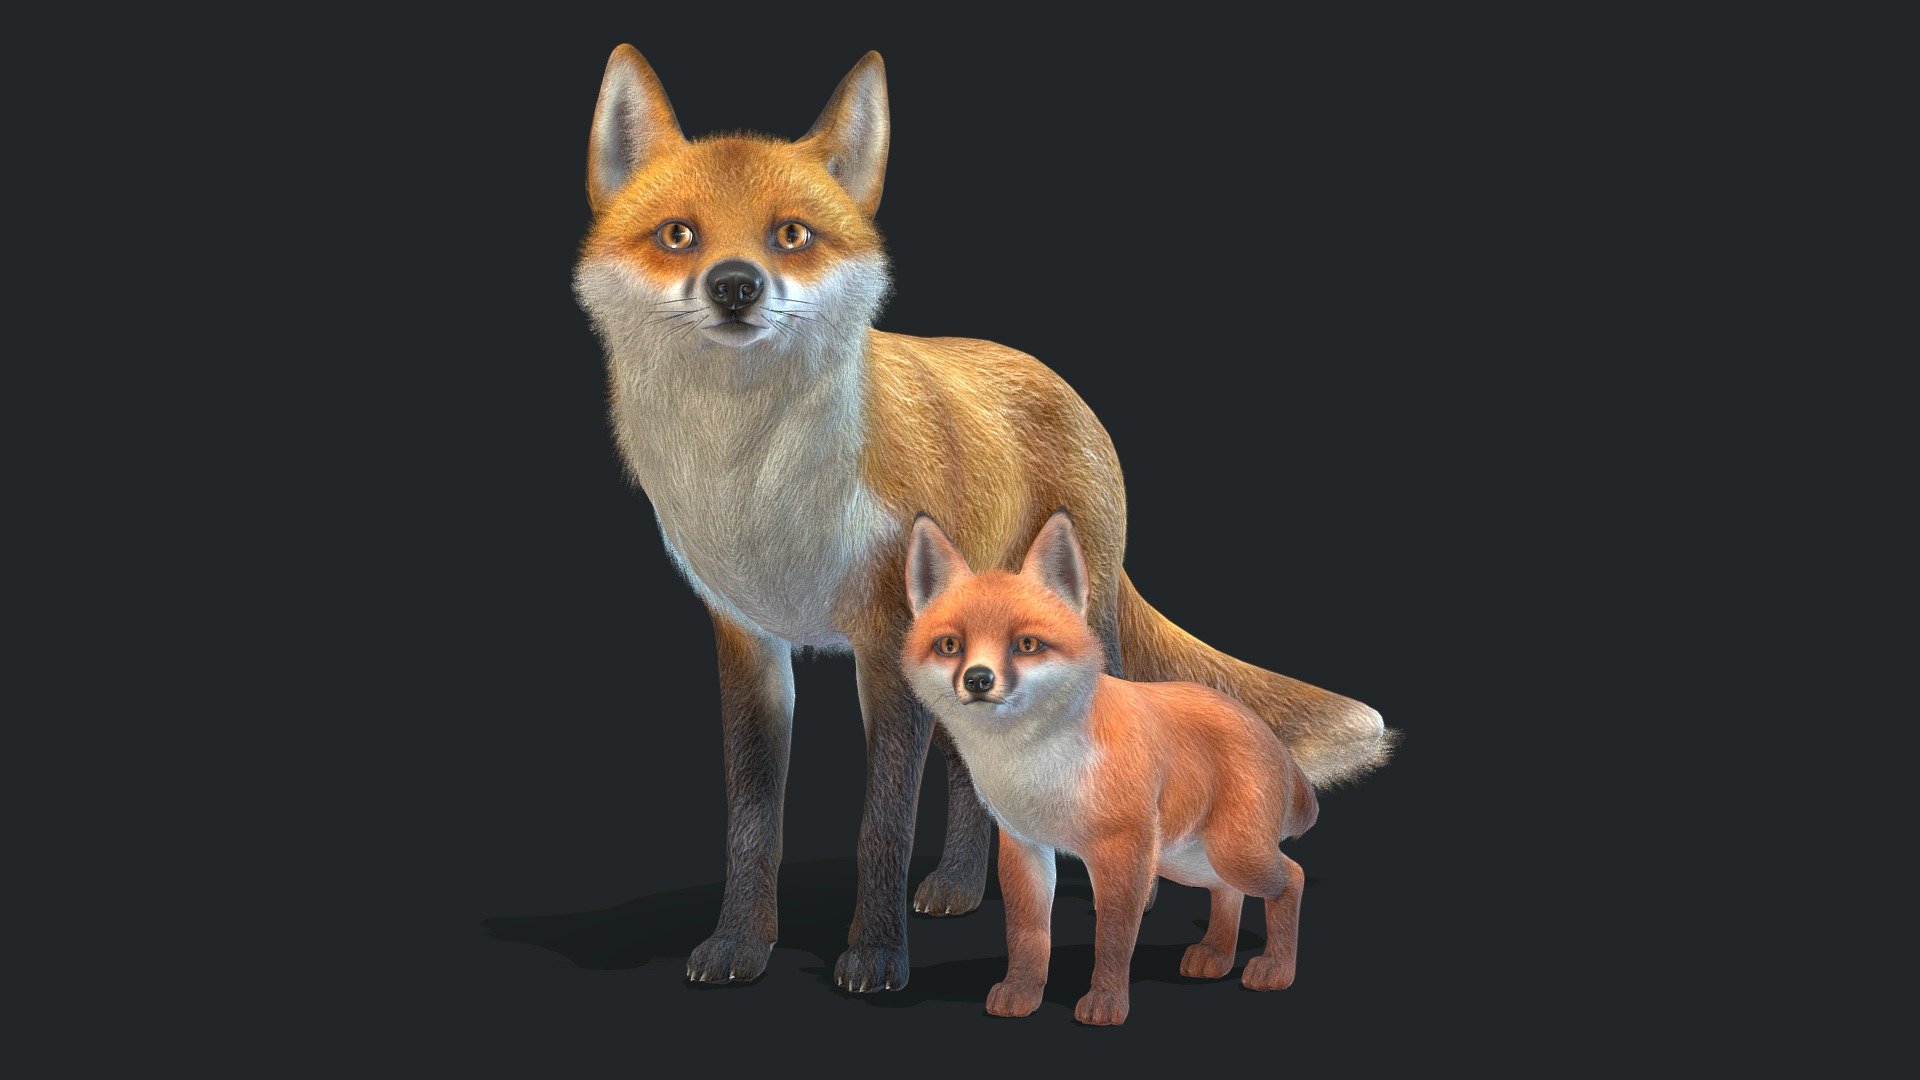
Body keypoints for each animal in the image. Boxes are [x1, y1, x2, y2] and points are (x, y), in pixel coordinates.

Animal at [901, 510, 1319, 1025]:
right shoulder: (1025, 845)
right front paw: (1022, 991)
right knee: (1228, 893)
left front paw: (1106, 1001)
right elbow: (1027, 935)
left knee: (1292, 877)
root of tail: (1262, 730)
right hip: (1190, 860)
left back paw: (1276, 967)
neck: (1038, 769)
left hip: (1233, 852)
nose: (978, 679)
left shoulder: (1124, 850)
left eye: (1026, 644)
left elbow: (1115, 937)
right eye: (950, 645)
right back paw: (1217, 955)